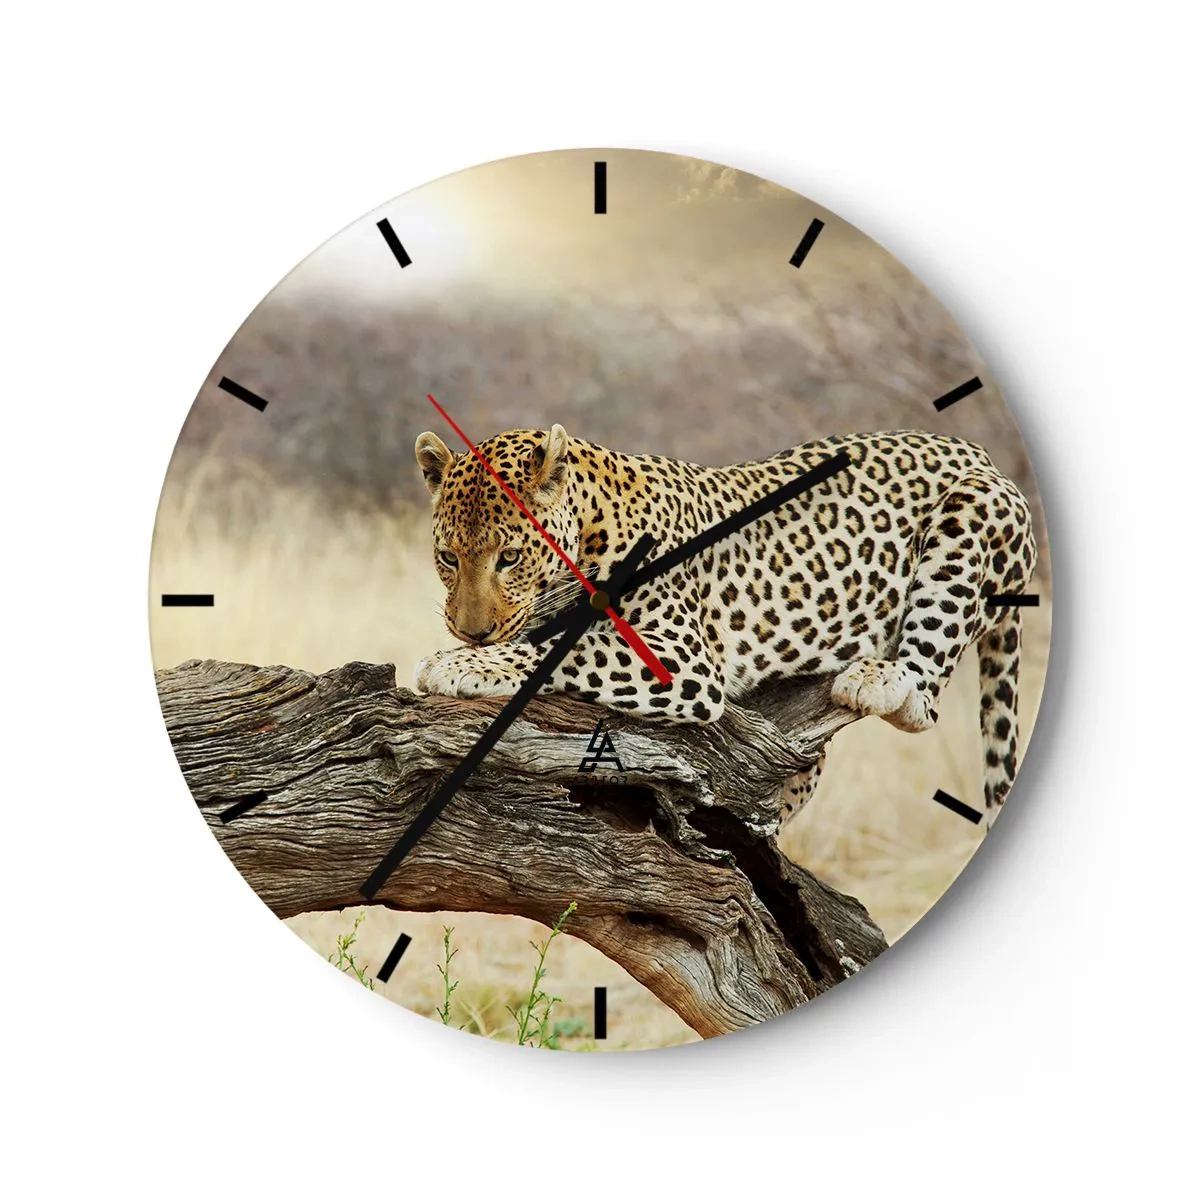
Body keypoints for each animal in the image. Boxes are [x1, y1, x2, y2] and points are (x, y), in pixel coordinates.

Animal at [412, 423, 1037, 826]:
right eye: (446, 557)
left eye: (509, 558)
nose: (470, 633)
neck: (588, 531)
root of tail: (980, 453)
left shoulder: (681, 660)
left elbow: (565, 650)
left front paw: (461, 665)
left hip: (967, 521)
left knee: (924, 699)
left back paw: (877, 679)